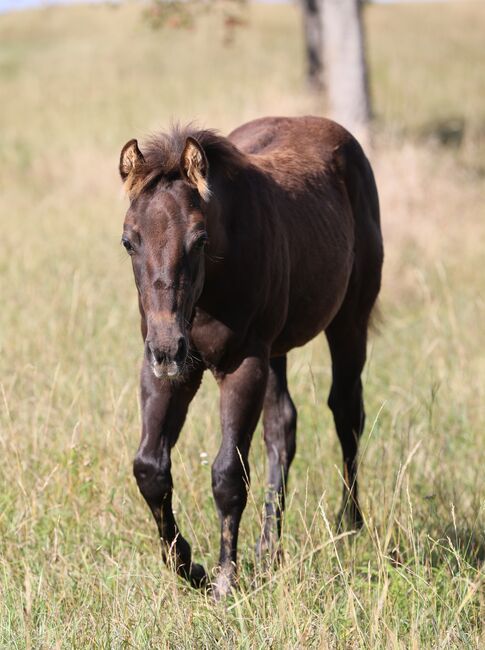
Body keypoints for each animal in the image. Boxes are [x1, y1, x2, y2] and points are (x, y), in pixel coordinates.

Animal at [117, 114, 382, 596]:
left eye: (199, 239)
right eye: (129, 241)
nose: (167, 346)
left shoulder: (243, 365)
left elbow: (228, 475)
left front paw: (224, 578)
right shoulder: (173, 373)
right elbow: (150, 468)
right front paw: (189, 567)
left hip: (348, 322)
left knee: (347, 411)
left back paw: (349, 525)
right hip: (275, 352)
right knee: (282, 428)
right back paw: (269, 549)